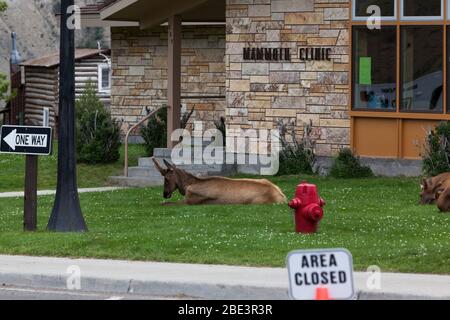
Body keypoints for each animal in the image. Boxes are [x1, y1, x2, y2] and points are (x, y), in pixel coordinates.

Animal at [151, 158, 284, 205]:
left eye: (166, 178)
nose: (165, 193)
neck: (189, 184)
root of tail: (282, 196)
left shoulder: (190, 201)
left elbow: (165, 204)